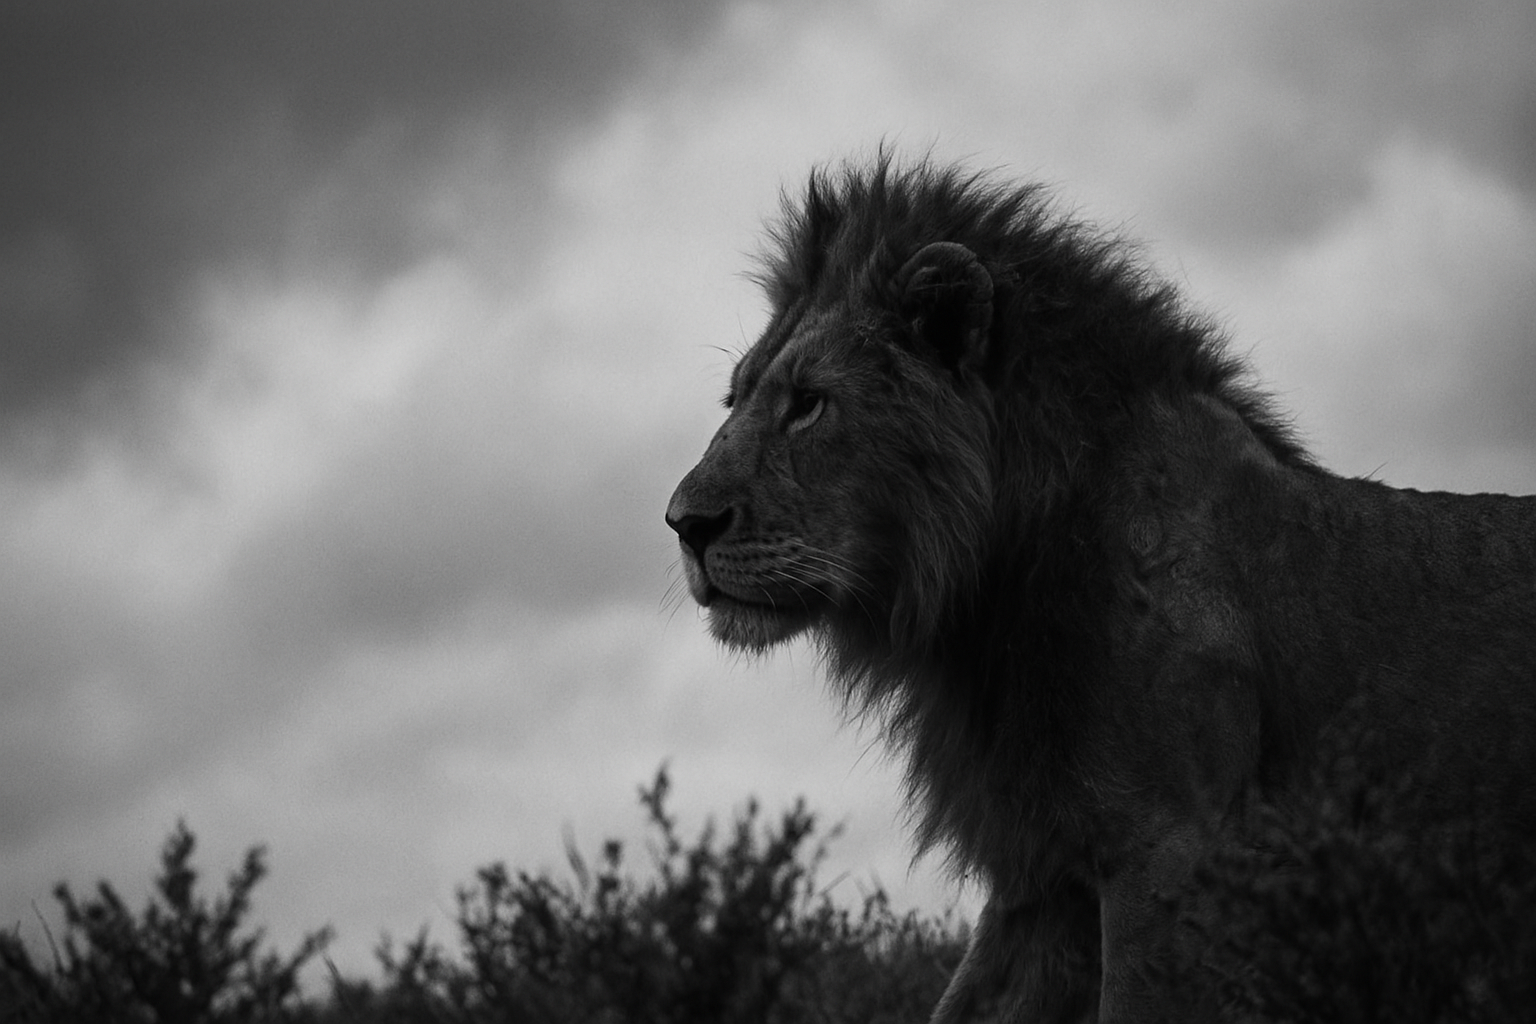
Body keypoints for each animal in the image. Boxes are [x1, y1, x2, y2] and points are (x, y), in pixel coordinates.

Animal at [665, 154, 1536, 1023]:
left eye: (809, 404)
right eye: (735, 397)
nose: (683, 524)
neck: (989, 599)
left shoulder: (1171, 849)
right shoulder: (1043, 870)